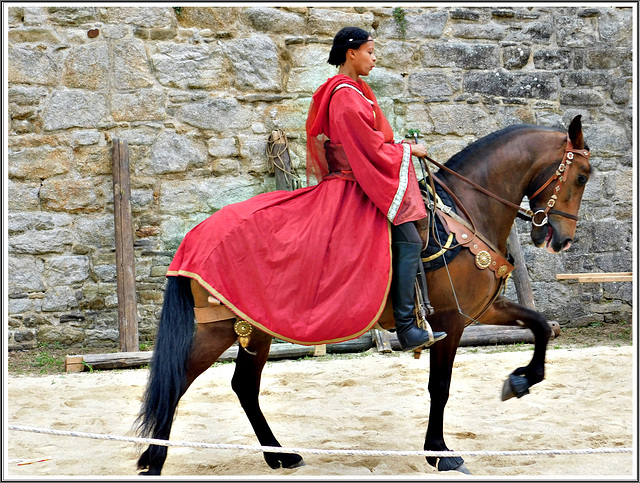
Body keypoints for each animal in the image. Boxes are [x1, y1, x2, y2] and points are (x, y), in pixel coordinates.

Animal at [134, 115, 592, 474]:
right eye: (582, 176)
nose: (562, 239)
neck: (467, 211)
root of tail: (196, 236)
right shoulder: (450, 320)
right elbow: (440, 387)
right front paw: (440, 452)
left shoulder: (480, 310)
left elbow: (540, 326)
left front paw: (522, 379)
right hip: (216, 330)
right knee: (176, 382)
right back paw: (154, 461)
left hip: (255, 329)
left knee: (244, 386)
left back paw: (279, 454)